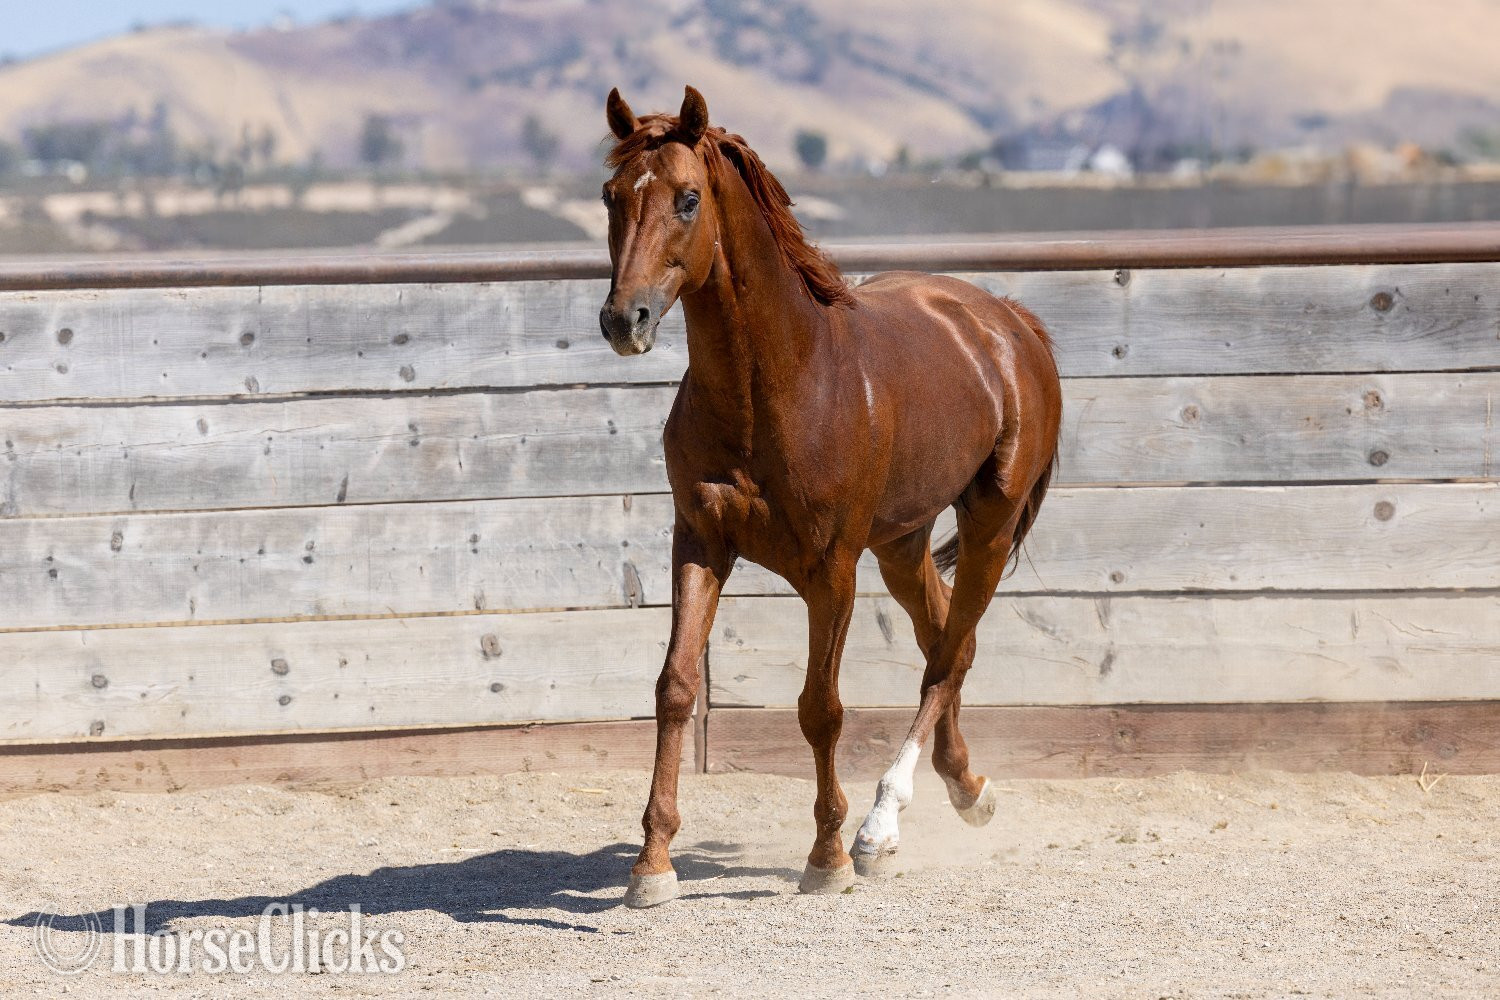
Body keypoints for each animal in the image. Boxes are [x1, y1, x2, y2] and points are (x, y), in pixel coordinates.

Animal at [598, 85, 1063, 908]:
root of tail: (1010, 322)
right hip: (903, 543)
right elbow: (676, 687)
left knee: (946, 657)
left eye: (688, 198)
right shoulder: (700, 541)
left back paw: (881, 828)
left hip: (989, 526)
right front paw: (652, 864)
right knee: (948, 638)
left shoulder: (831, 570)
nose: (626, 320)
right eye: (610, 195)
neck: (777, 385)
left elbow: (821, 709)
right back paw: (967, 789)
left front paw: (829, 857)